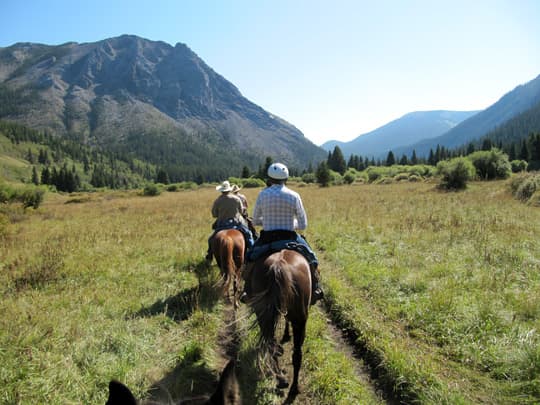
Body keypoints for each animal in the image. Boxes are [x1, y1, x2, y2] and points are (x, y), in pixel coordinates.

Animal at [246, 249, 310, 398]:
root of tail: (278, 265)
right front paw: (286, 335)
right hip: (299, 321)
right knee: (297, 355)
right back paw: (293, 388)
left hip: (263, 315)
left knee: (270, 343)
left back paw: (281, 379)